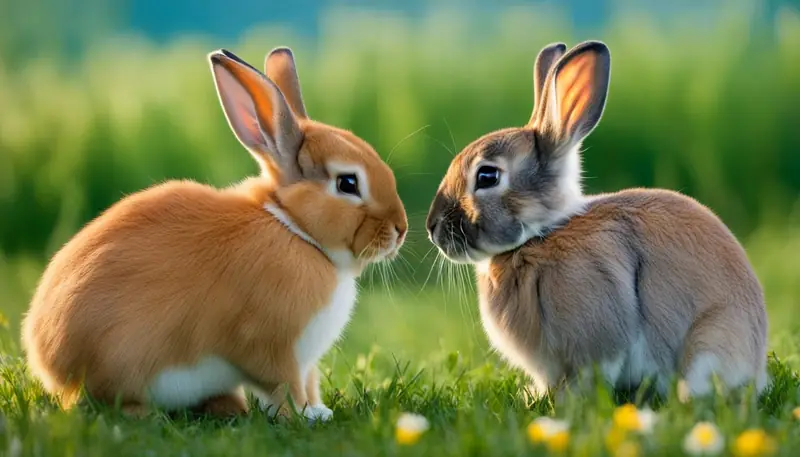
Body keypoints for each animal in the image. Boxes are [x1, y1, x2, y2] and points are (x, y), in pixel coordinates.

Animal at [21, 47, 407, 421]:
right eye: (347, 183)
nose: (400, 229)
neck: (296, 230)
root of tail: (48, 364)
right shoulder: (273, 349)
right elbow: (284, 388)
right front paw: (306, 416)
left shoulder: (306, 360)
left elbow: (308, 384)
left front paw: (319, 409)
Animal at [425, 40, 768, 402]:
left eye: (487, 176)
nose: (432, 228)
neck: (538, 236)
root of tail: (756, 361)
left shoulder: (596, 331)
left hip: (707, 346)